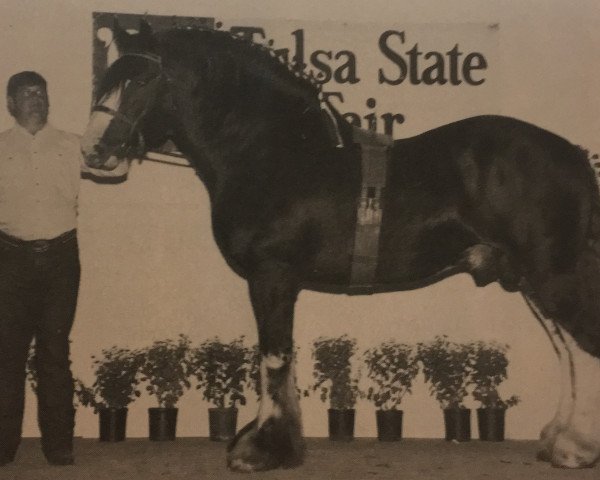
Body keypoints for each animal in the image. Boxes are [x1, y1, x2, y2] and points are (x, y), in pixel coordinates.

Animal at [82, 20, 600, 470]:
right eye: (107, 78)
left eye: (142, 78)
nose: (93, 152)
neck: (273, 152)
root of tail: (573, 154)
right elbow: (279, 359)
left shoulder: (271, 276)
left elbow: (273, 357)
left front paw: (260, 450)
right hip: (532, 278)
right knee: (567, 351)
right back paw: (558, 439)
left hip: (553, 274)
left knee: (582, 345)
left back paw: (575, 449)